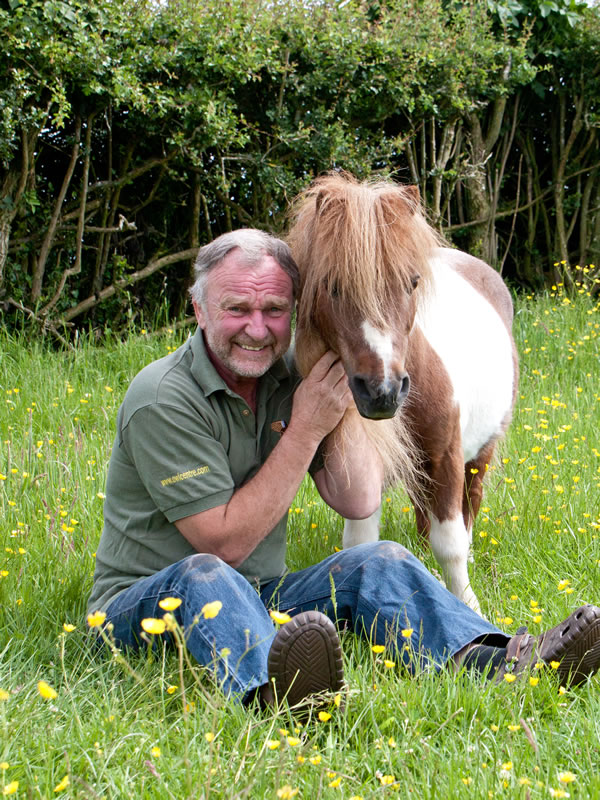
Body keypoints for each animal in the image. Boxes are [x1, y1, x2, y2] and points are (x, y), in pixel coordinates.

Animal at [286, 173, 516, 612]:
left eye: (412, 282)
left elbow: (451, 545)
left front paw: (468, 603)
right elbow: (360, 542)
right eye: (332, 286)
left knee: (470, 503)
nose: (383, 392)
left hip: (479, 453)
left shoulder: (445, 456)